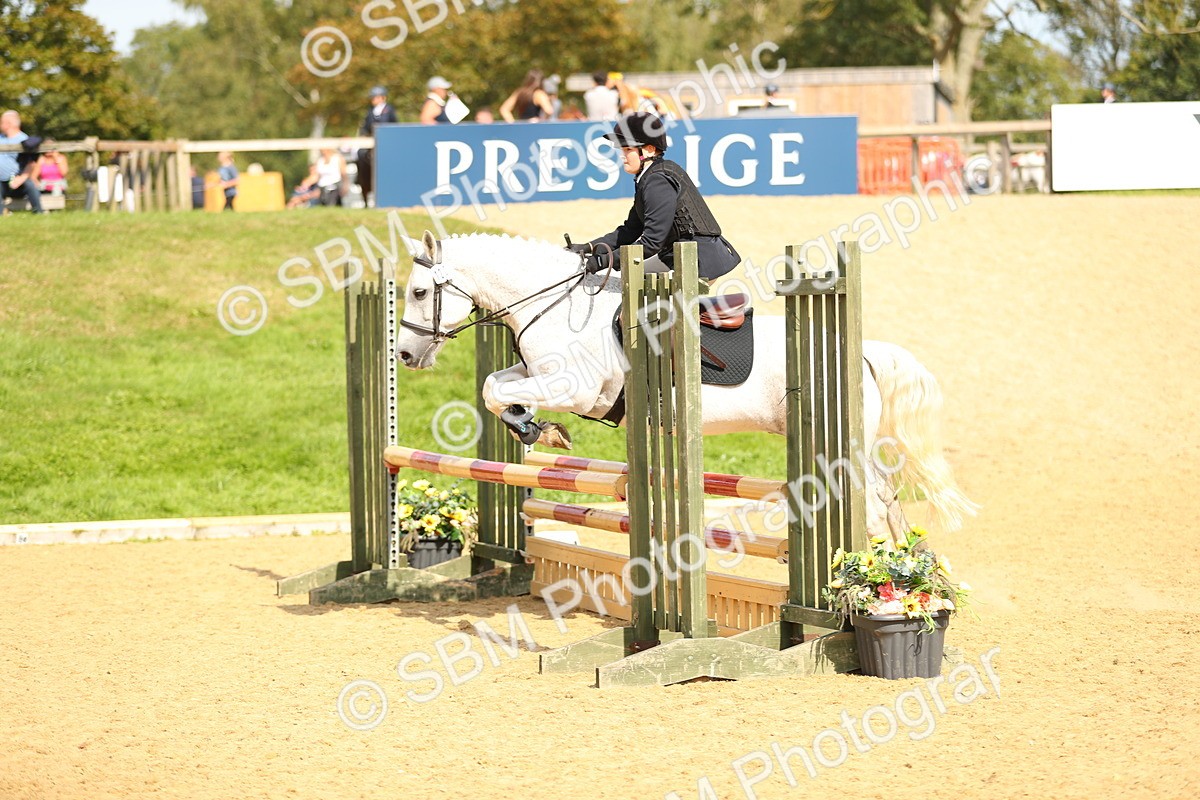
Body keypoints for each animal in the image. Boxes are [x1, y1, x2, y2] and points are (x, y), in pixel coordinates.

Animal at [394, 230, 977, 537]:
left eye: (420, 292)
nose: (405, 355)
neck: (554, 303)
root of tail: (861, 352)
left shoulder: (577, 389)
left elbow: (499, 391)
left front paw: (541, 430)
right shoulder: (541, 374)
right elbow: (496, 385)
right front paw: (535, 429)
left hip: (841, 445)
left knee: (874, 503)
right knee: (885, 498)